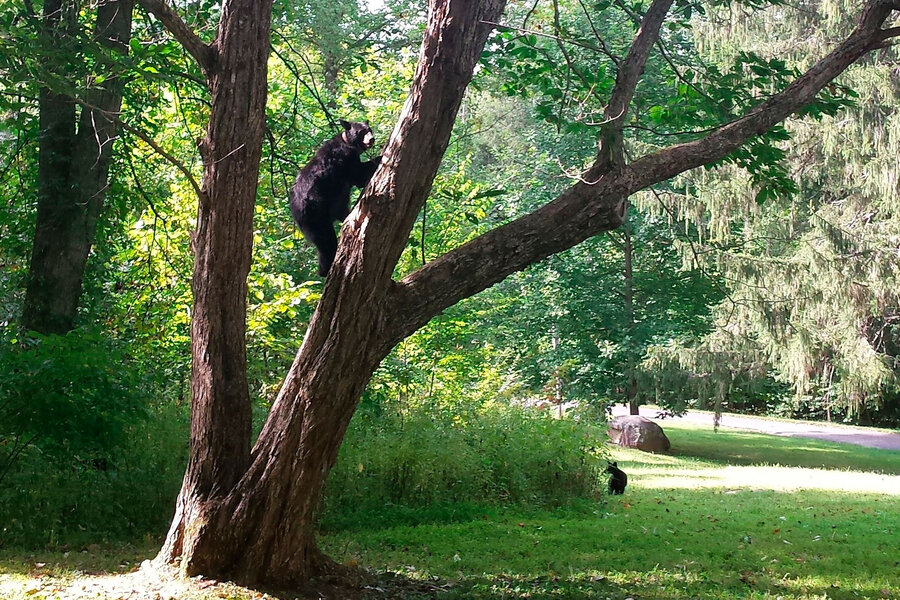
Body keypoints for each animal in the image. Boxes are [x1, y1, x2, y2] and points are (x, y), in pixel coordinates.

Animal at [288, 120, 380, 278]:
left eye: (369, 130)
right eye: (361, 132)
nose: (371, 139)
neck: (347, 142)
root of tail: (294, 210)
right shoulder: (346, 158)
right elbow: (359, 174)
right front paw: (379, 158)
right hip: (316, 213)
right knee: (326, 241)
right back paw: (325, 270)